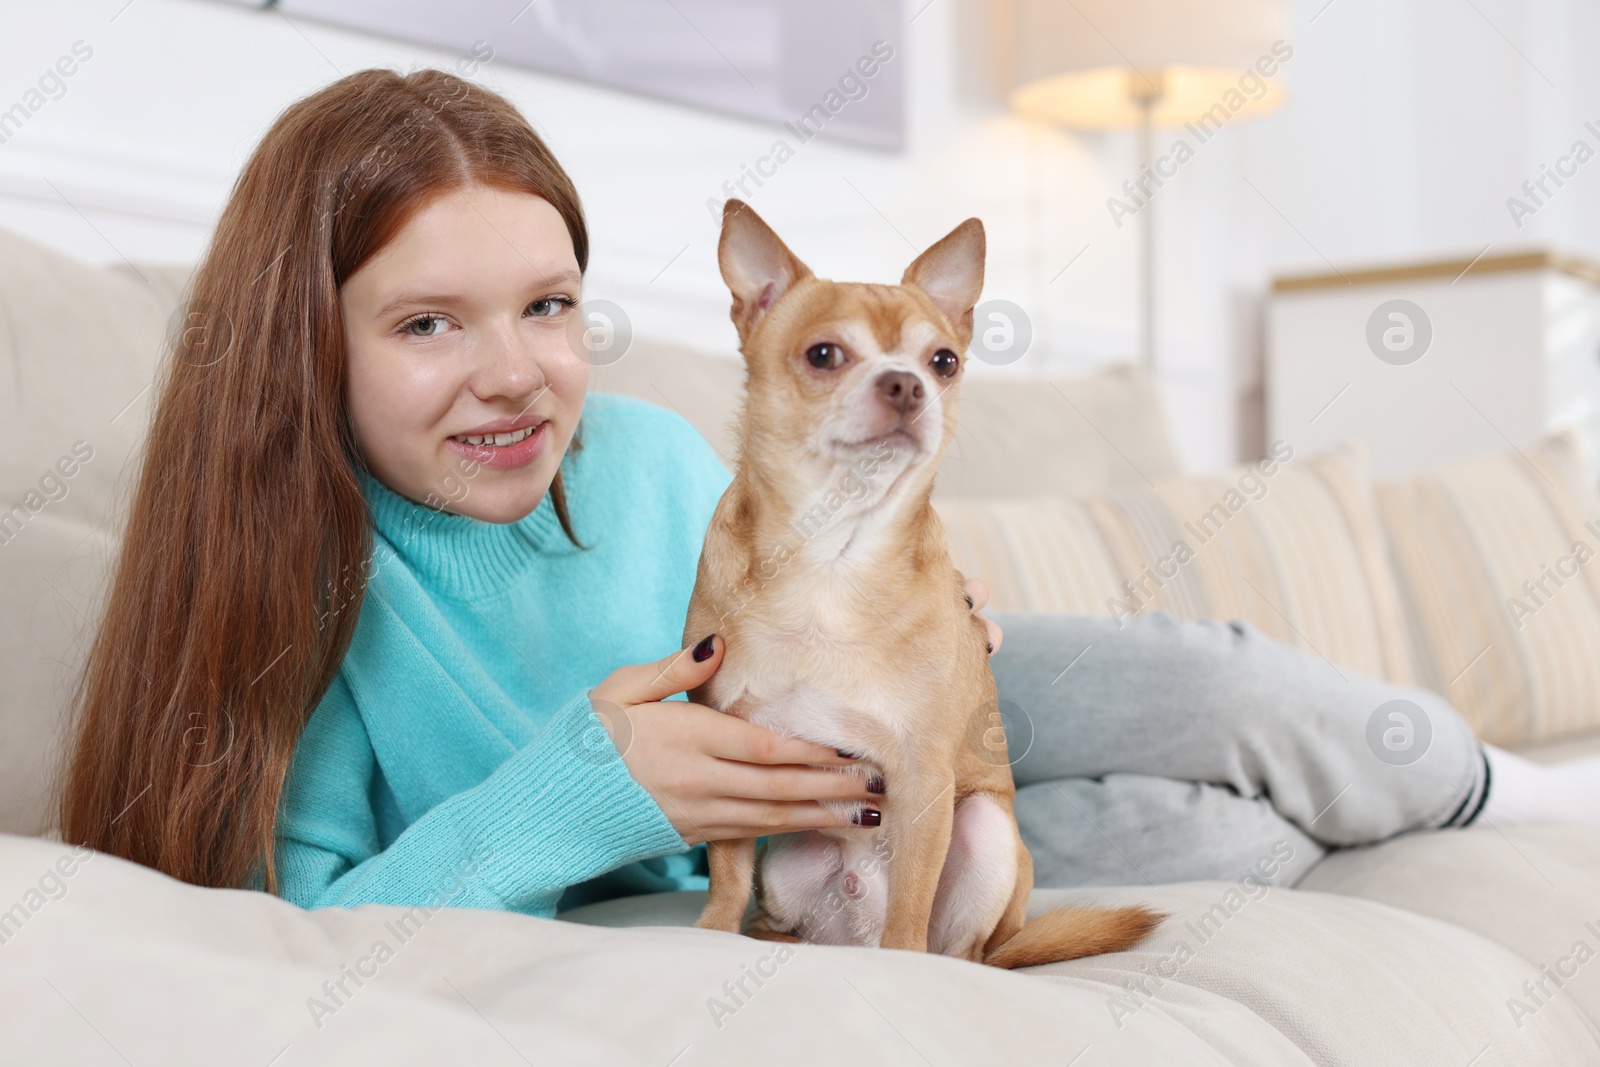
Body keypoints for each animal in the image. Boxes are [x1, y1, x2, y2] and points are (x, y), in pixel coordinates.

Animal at [688, 199, 1164, 966]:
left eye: (943, 362)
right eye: (824, 354)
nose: (906, 383)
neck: (833, 552)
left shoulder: (924, 776)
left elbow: (913, 890)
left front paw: (903, 961)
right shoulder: (730, 752)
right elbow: (725, 868)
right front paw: (708, 931)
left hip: (986, 830)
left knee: (955, 946)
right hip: (791, 856)